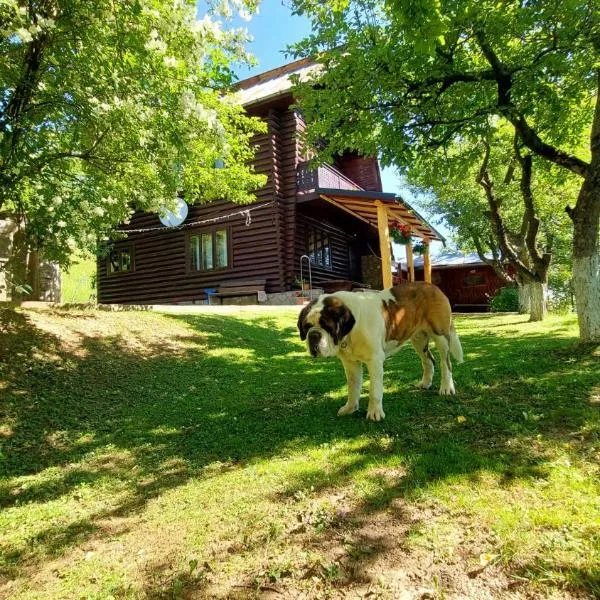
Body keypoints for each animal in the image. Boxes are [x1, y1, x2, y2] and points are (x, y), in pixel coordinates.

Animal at [298, 282, 464, 420]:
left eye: (327, 326)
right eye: (306, 327)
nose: (313, 335)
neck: (351, 330)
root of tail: (433, 287)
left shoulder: (375, 361)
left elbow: (375, 390)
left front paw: (375, 413)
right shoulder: (350, 363)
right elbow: (353, 387)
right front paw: (350, 408)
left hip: (441, 336)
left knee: (445, 363)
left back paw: (447, 388)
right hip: (418, 339)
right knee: (429, 360)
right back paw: (425, 383)